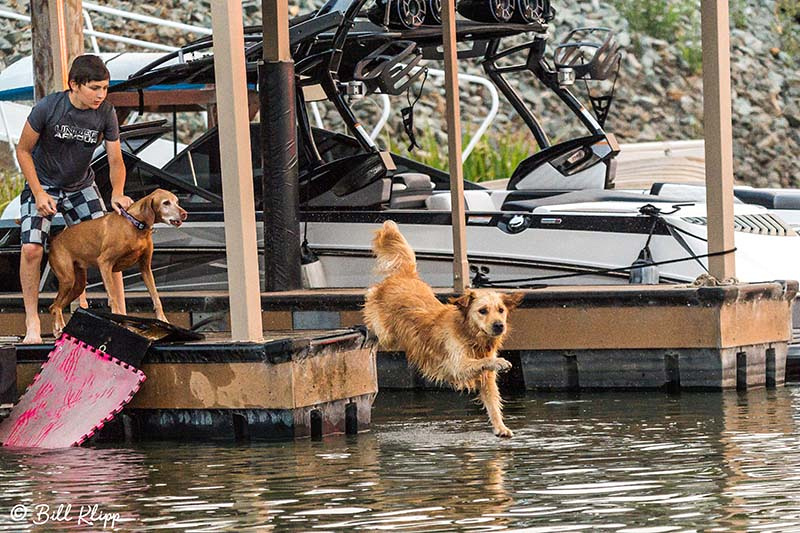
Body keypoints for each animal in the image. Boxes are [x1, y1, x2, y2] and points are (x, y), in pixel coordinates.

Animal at [48, 189, 188, 334]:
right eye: (166, 202)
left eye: (177, 201)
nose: (184, 213)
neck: (136, 225)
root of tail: (54, 240)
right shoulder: (104, 263)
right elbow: (113, 296)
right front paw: (116, 318)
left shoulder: (145, 268)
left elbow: (155, 296)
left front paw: (162, 319)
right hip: (67, 279)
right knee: (56, 305)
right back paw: (60, 326)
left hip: (78, 285)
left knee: (53, 306)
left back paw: (57, 329)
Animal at [364, 220, 524, 436]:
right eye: (482, 311)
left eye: (501, 310)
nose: (499, 325)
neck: (470, 335)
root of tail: (406, 276)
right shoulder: (456, 365)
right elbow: (483, 362)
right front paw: (500, 362)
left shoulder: (486, 378)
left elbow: (492, 401)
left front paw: (501, 427)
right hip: (386, 333)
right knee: (371, 297)